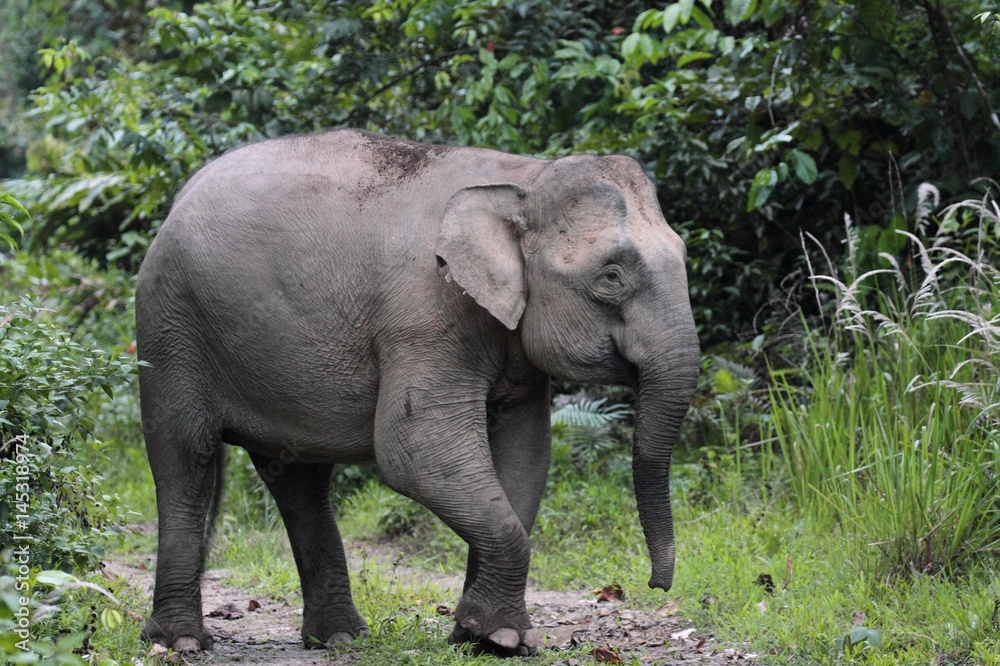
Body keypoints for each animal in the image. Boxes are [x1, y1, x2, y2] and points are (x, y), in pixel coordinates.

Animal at [137, 128, 700, 652]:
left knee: (300, 479)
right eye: (611, 275)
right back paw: (181, 642)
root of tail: (181, 196)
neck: (523, 179)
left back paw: (338, 639)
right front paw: (499, 639)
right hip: (170, 325)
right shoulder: (426, 315)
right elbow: (416, 452)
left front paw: (485, 639)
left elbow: (526, 457)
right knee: (185, 458)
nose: (656, 585)